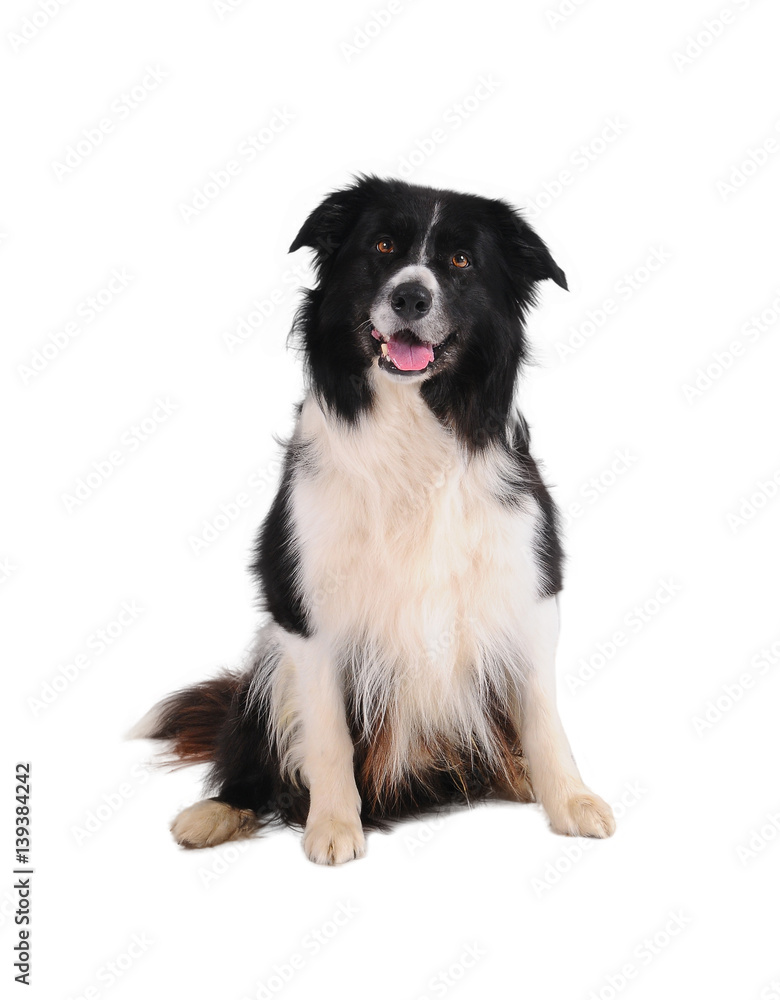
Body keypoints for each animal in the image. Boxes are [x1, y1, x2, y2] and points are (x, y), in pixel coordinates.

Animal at [133, 176, 616, 864]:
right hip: (268, 667)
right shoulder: (305, 610)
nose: (411, 296)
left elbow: (544, 716)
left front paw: (570, 799)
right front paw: (334, 824)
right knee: (253, 758)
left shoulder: (527, 584)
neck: (413, 422)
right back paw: (216, 812)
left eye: (461, 261)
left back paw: (516, 775)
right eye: (383, 246)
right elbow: (328, 737)